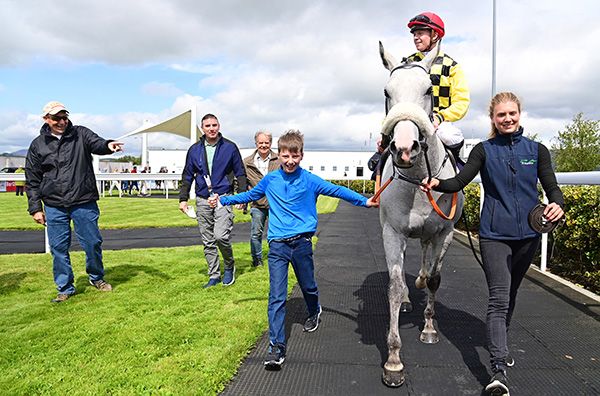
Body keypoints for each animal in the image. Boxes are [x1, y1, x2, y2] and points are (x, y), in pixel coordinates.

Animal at [378, 42, 466, 386]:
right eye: (387, 91)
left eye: (429, 89)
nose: (404, 148)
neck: (418, 182)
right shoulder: (392, 231)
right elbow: (393, 285)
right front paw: (393, 360)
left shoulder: (445, 233)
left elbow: (435, 280)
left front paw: (429, 329)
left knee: (427, 264)